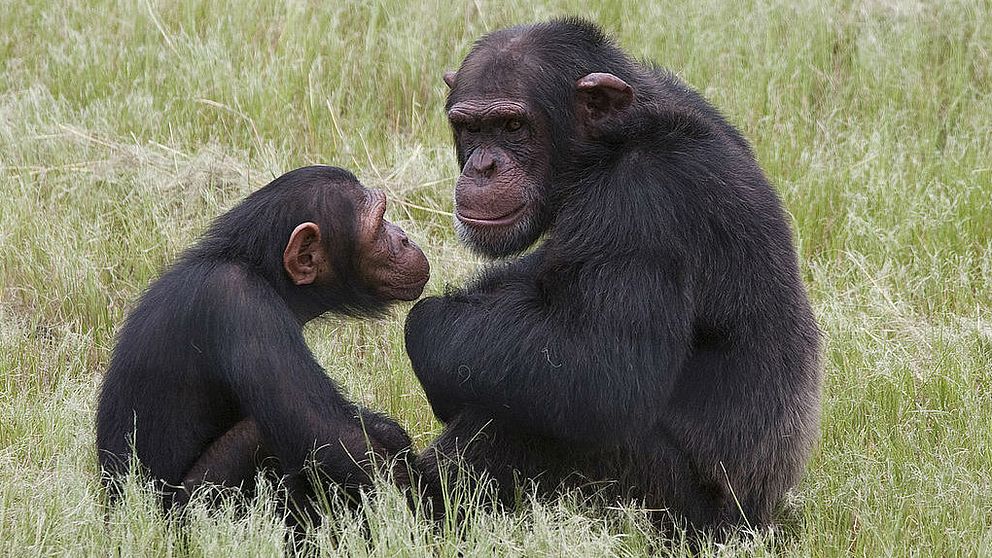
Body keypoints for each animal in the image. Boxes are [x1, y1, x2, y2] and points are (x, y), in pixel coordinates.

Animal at [96, 164, 430, 524]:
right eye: (379, 223)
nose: (403, 236)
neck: (261, 270)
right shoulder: (243, 305)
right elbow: (328, 434)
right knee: (258, 436)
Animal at [404, 18, 820, 540]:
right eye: (470, 128)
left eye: (513, 126)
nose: (483, 165)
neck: (611, 144)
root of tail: (765, 518)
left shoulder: (643, 205)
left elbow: (604, 369)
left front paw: (426, 325)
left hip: (672, 510)